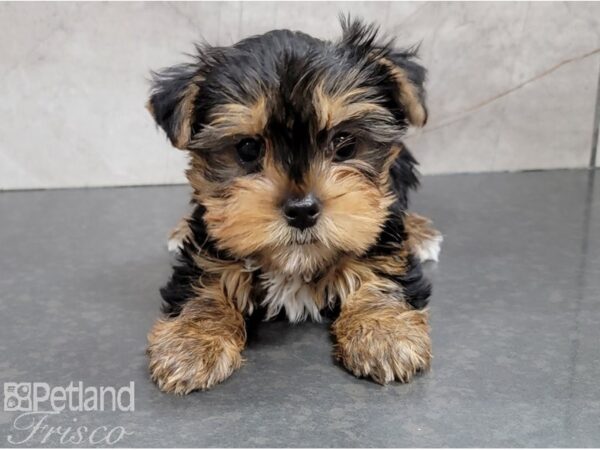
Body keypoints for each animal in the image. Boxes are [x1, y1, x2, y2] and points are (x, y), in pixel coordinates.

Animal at [148, 17, 442, 394]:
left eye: (345, 144)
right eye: (247, 148)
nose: (302, 209)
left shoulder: (379, 235)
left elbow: (381, 270)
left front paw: (385, 333)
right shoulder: (208, 246)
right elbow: (205, 282)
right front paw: (191, 342)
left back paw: (419, 232)